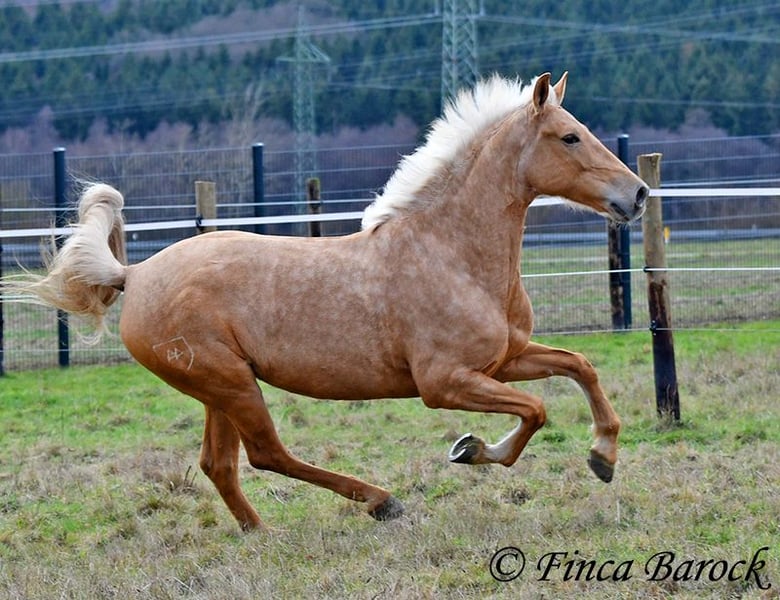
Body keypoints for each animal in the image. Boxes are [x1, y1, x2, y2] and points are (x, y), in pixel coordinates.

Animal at [4, 73, 648, 530]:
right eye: (569, 136)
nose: (637, 194)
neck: (450, 253)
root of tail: (133, 275)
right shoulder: (445, 383)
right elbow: (534, 411)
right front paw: (471, 450)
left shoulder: (505, 359)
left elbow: (579, 367)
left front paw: (603, 457)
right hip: (231, 383)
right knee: (266, 454)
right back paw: (381, 502)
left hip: (219, 388)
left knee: (220, 464)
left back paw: (261, 533)